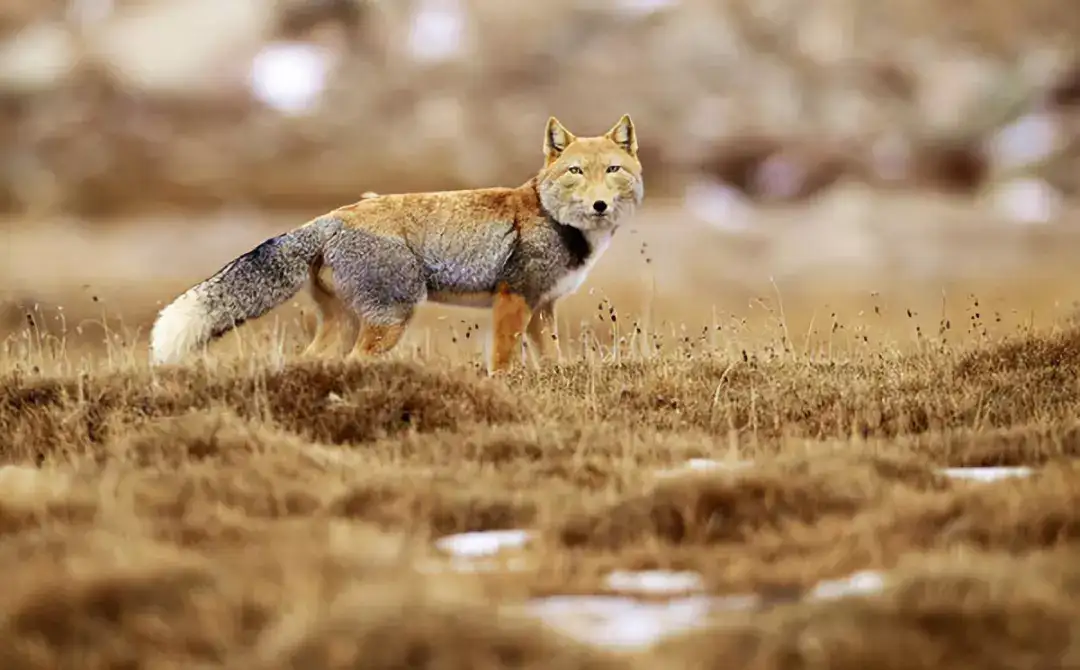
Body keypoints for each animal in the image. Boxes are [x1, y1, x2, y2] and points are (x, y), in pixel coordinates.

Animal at [149, 116, 643, 376]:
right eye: (576, 172)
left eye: (613, 170)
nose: (599, 205)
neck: (552, 217)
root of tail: (331, 216)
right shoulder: (513, 297)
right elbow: (503, 361)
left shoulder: (543, 307)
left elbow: (552, 358)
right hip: (390, 320)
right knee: (354, 360)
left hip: (345, 324)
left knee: (310, 360)